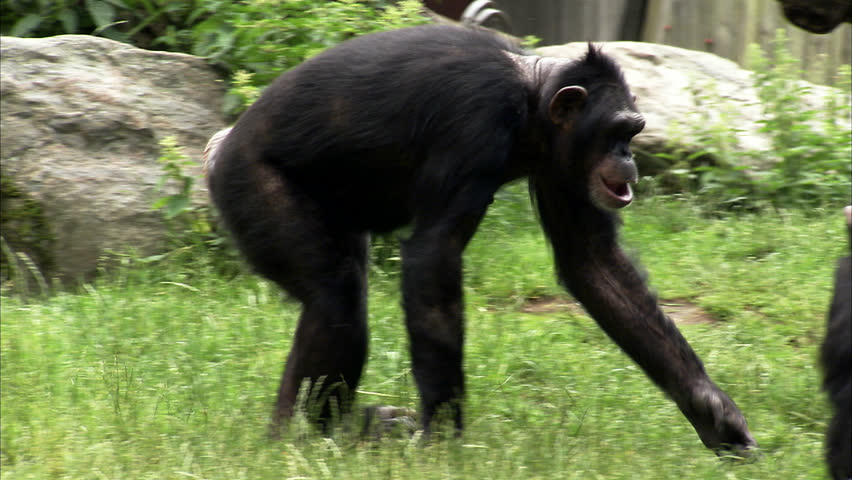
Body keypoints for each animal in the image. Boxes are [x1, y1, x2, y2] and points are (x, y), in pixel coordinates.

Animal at [203, 24, 756, 456]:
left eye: (633, 131)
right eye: (617, 131)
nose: (629, 158)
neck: (530, 104)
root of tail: (219, 146)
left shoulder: (563, 165)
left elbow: (593, 263)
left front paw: (714, 413)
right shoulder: (474, 122)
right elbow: (433, 258)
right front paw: (443, 437)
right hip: (251, 186)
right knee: (334, 298)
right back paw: (309, 436)